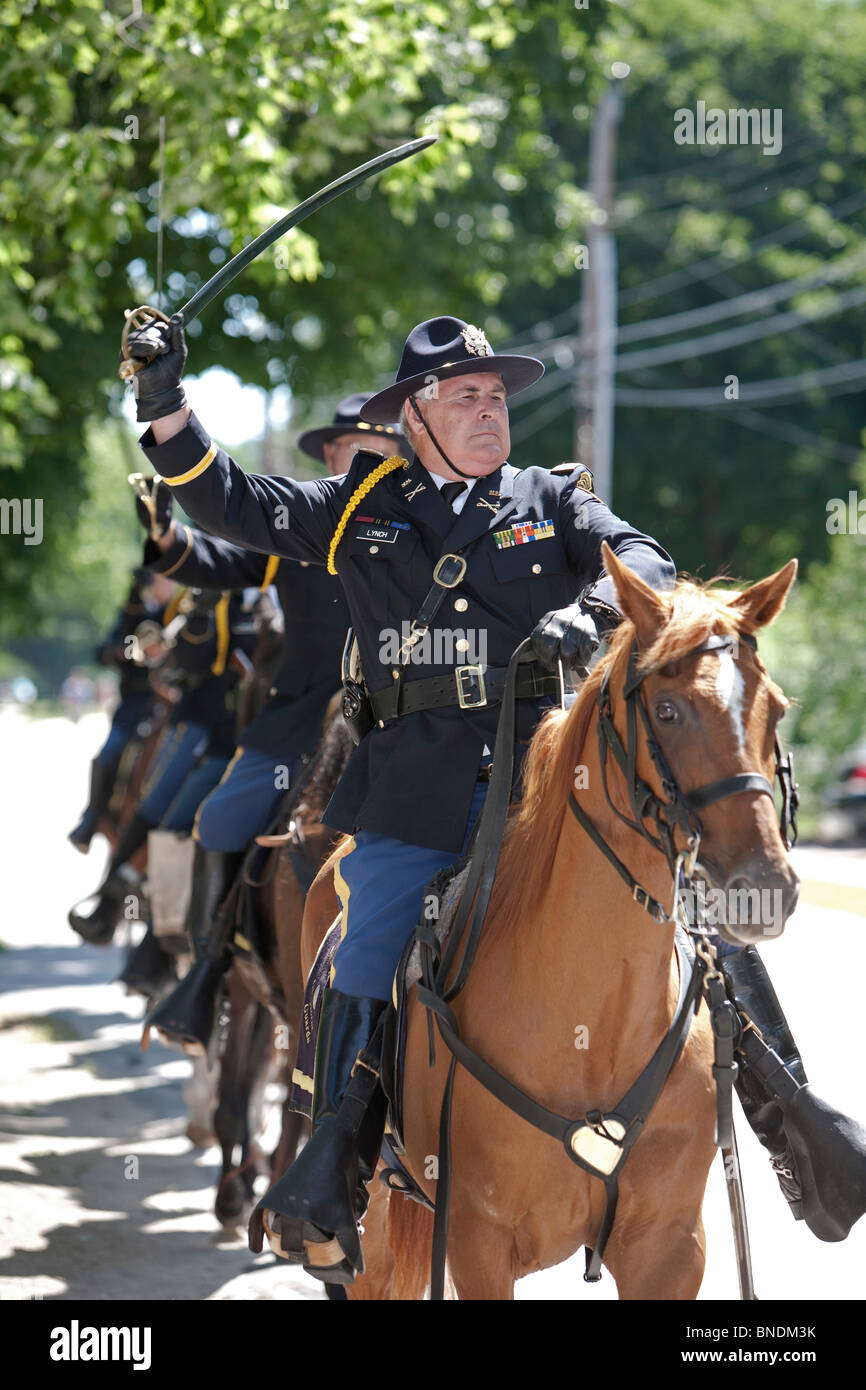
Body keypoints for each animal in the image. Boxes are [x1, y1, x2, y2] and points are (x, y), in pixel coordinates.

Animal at [303, 547, 800, 1295]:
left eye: (774, 710)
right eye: (668, 710)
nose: (763, 885)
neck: (593, 1027)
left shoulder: (671, 1247)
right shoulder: (477, 1244)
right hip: (379, 1226)